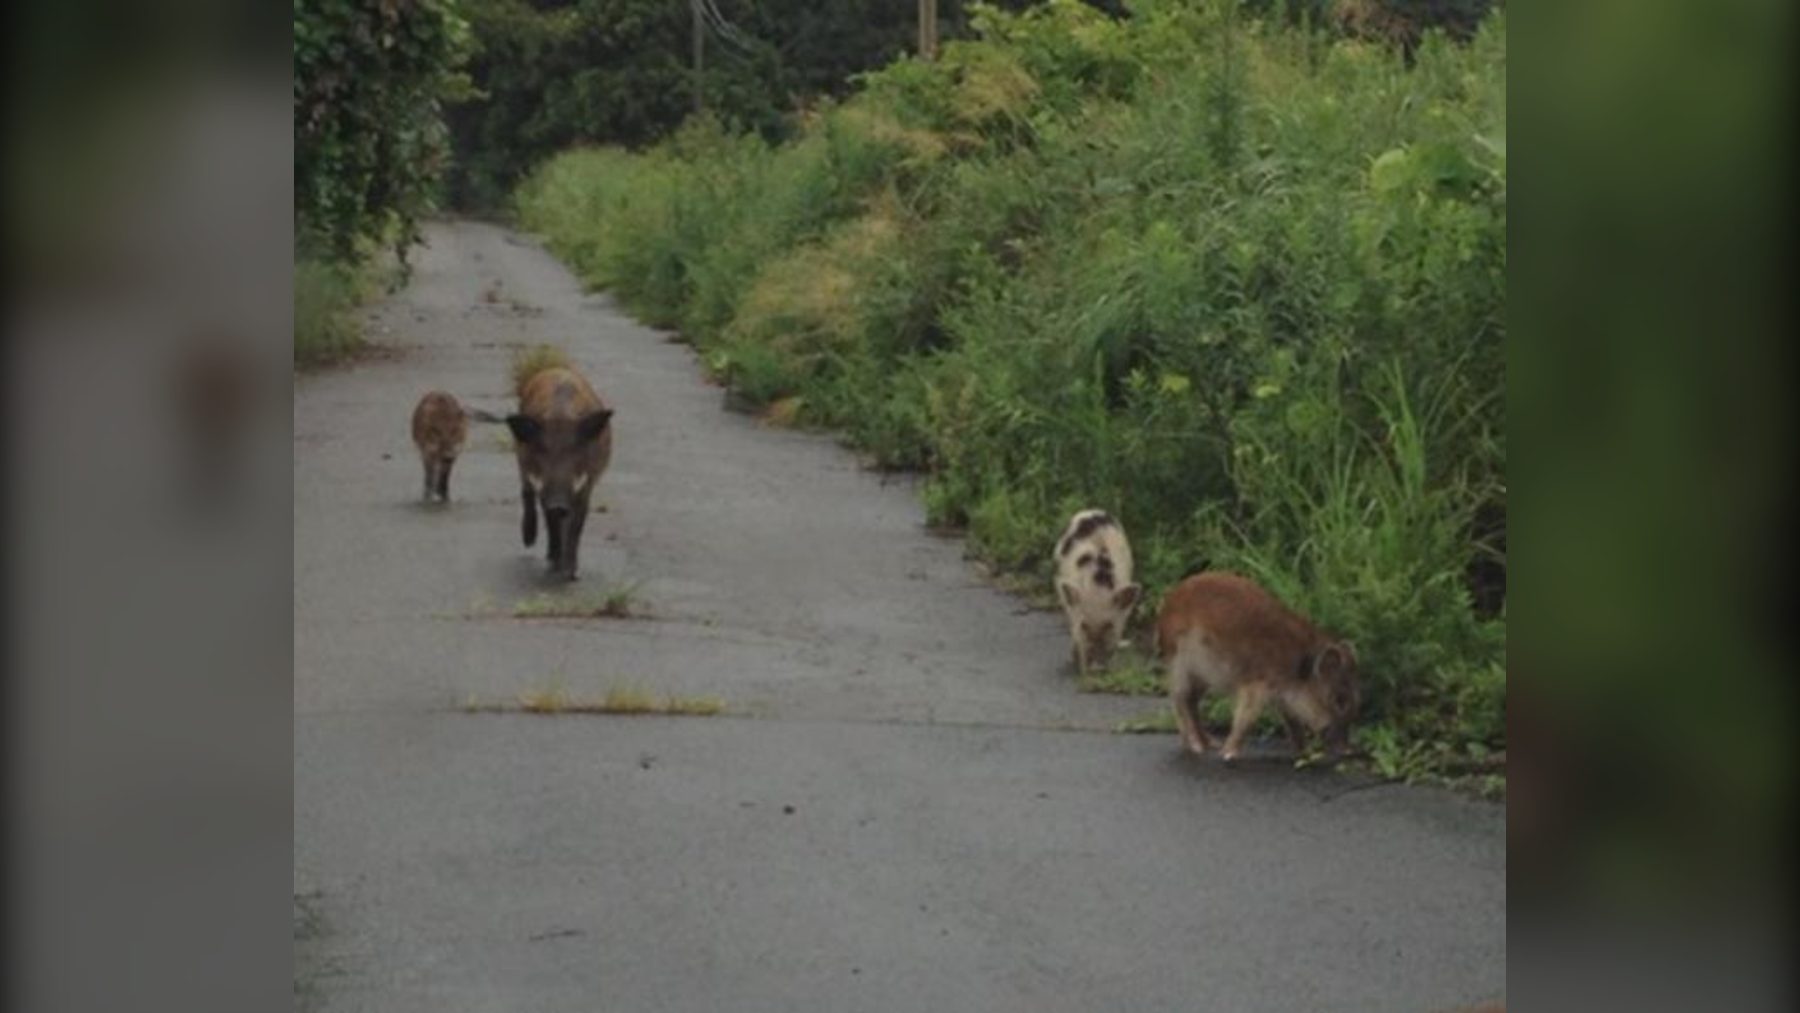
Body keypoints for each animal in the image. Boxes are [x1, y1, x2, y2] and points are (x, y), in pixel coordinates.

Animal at [506, 366, 614, 580]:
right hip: (520, 458)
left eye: (576, 449)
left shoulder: (587, 482)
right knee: (526, 492)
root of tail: (556, 369)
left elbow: (577, 523)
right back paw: (529, 541)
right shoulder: (541, 483)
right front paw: (553, 565)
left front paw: (571, 573)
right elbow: (550, 518)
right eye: (542, 449)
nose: (558, 503)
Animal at [1054, 509, 1142, 675]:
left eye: (1109, 625)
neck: (1098, 587)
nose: (1097, 668)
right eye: (1084, 625)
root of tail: (1092, 511)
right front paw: (1075, 662)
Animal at [1156, 571, 1361, 762]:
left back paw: (1211, 743)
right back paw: (1197, 747)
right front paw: (1228, 754)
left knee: (1192, 702)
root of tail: (1165, 608)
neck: (1297, 668)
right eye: (1340, 700)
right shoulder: (1255, 686)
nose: (1349, 751)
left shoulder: (1284, 698)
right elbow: (1246, 719)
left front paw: (1305, 753)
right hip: (1181, 665)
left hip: (1203, 677)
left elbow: (1293, 722)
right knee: (1180, 699)